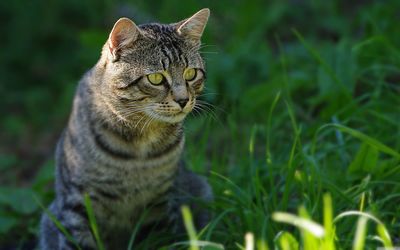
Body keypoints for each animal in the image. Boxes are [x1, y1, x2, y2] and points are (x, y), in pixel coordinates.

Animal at [38, 8, 212, 249]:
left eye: (191, 74)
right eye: (155, 78)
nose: (183, 100)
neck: (139, 146)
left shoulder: (160, 200)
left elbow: (159, 239)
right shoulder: (77, 201)